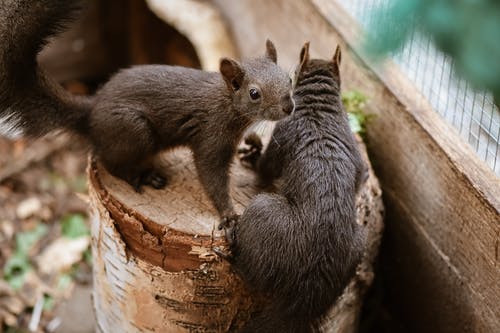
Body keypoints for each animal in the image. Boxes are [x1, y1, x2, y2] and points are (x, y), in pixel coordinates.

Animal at [0, 1, 294, 223]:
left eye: (288, 79)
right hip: (135, 131)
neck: (227, 104)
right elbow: (211, 176)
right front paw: (229, 215)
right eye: (254, 93)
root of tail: (91, 112)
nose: (289, 106)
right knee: (108, 161)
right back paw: (142, 175)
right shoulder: (210, 137)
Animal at [222, 42, 368, 330]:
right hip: (358, 245)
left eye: (290, 79)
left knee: (252, 276)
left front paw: (253, 151)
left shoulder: (283, 134)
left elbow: (265, 167)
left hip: (263, 212)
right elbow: (360, 177)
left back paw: (234, 251)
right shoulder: (355, 153)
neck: (320, 106)